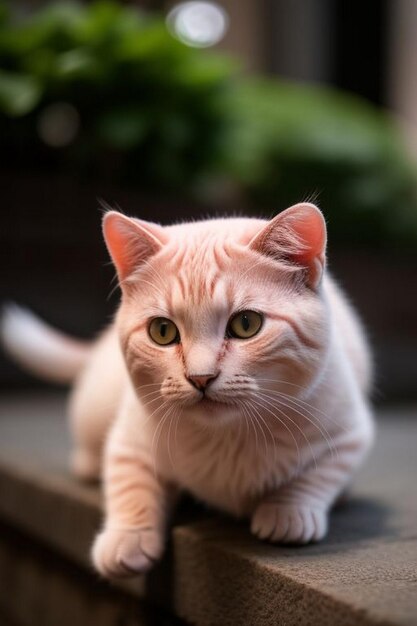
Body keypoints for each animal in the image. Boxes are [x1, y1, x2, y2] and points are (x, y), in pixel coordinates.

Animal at [0, 204, 374, 576]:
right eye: (162, 331)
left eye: (246, 324)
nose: (200, 377)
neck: (227, 438)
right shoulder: (130, 434)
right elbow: (130, 480)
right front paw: (127, 538)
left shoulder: (350, 433)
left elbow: (316, 476)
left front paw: (287, 512)